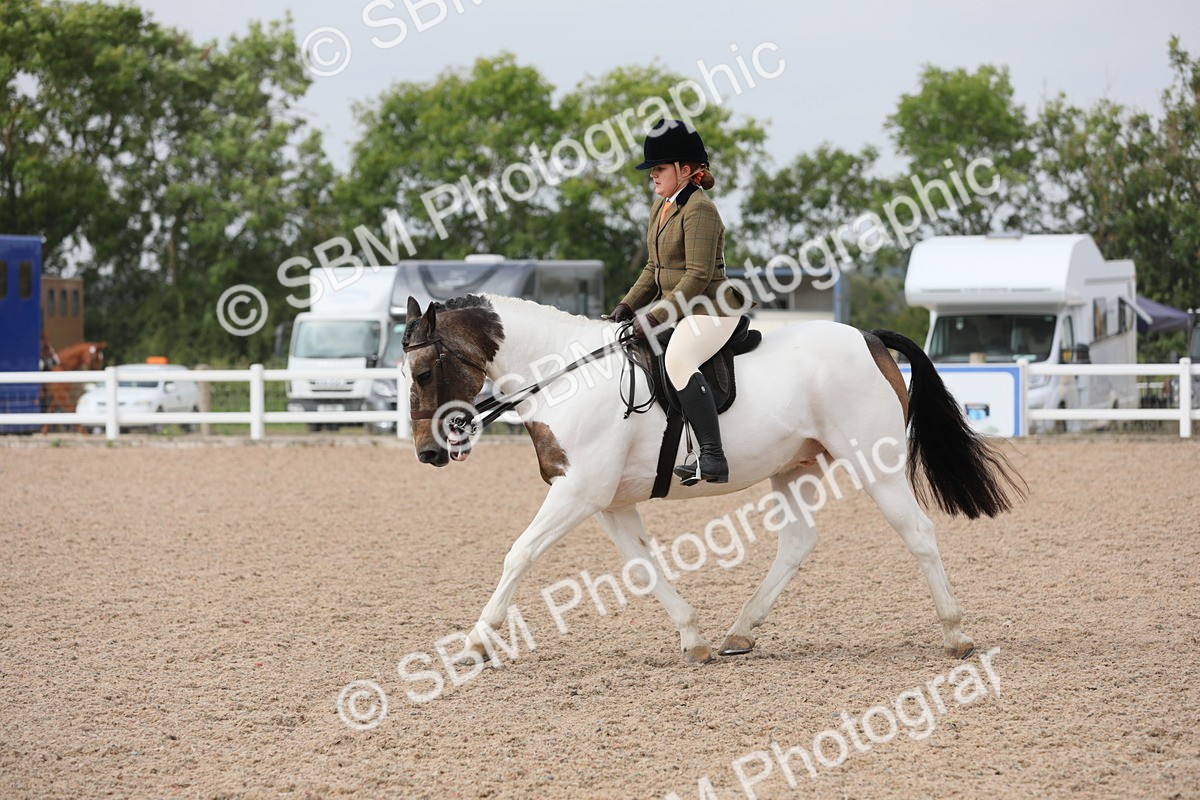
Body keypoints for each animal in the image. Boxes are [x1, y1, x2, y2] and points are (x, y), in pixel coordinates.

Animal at [400, 294, 1023, 665]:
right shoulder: (607, 502)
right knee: (798, 543)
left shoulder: (578, 493)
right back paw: (738, 633)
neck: (565, 376)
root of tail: (867, 337)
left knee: (917, 533)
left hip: (875, 461)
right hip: (793, 466)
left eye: (425, 372)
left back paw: (956, 635)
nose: (428, 453)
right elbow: (643, 566)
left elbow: (520, 553)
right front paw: (693, 638)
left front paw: (476, 642)